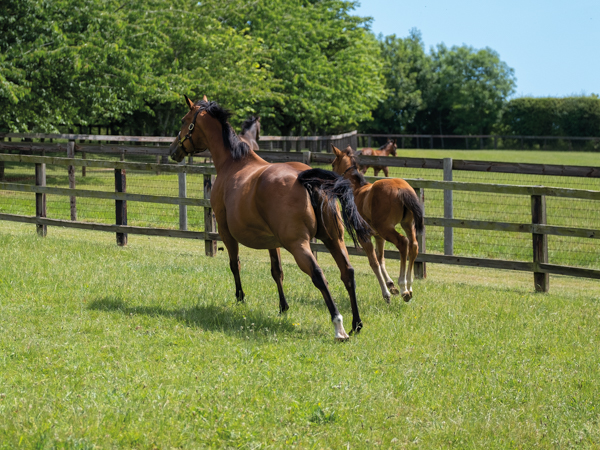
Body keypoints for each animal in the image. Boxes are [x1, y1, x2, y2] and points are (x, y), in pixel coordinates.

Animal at [169, 96, 372, 342]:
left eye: (184, 120)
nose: (172, 149)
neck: (234, 163)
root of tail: (305, 178)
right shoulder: (271, 241)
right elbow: (277, 272)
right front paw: (283, 307)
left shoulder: (226, 233)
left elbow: (234, 264)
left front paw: (240, 298)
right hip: (334, 239)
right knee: (348, 272)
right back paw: (356, 324)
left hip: (298, 245)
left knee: (318, 275)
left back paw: (338, 325)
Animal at [330, 146, 424, 302]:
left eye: (332, 165)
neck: (357, 190)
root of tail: (402, 189)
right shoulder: (378, 236)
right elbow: (381, 259)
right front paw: (390, 285)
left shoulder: (364, 236)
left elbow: (373, 262)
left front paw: (386, 293)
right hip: (407, 224)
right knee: (414, 245)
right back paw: (409, 287)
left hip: (387, 229)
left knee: (403, 243)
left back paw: (403, 286)